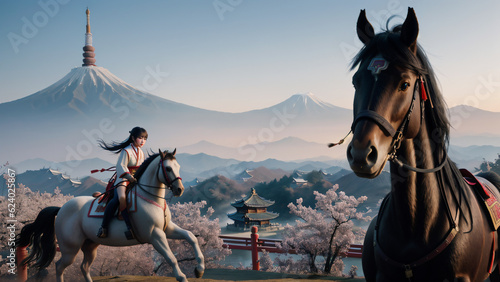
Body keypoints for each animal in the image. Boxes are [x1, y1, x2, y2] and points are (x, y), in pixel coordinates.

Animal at [17, 149, 205, 280]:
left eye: (178, 167)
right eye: (167, 168)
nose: (179, 190)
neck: (150, 198)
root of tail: (62, 208)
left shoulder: (167, 229)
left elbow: (191, 237)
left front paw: (199, 269)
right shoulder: (155, 235)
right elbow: (171, 257)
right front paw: (182, 277)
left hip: (90, 246)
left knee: (84, 267)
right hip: (70, 248)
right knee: (59, 266)